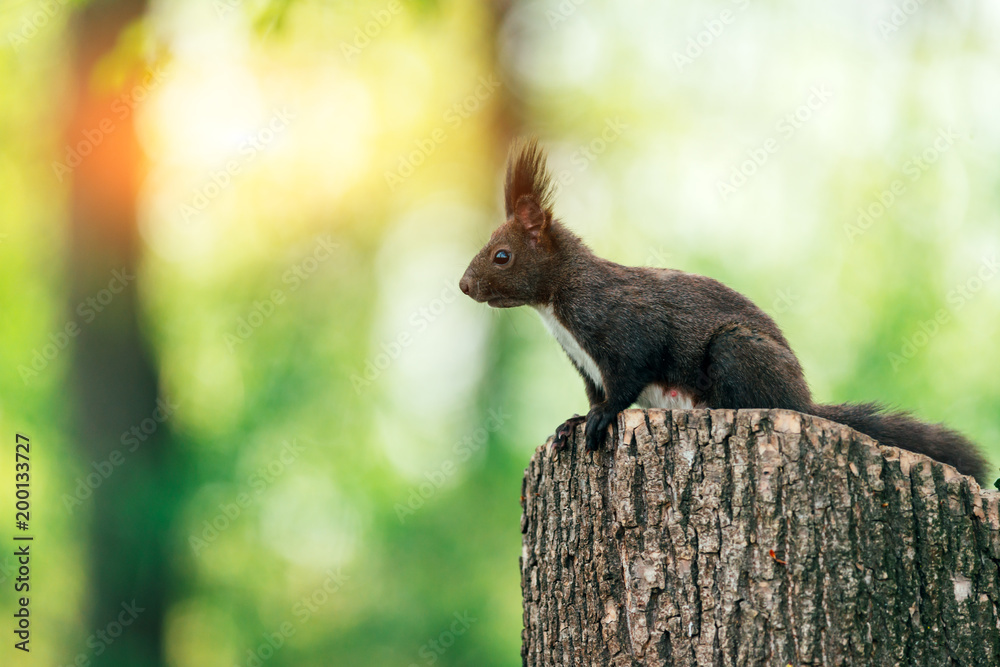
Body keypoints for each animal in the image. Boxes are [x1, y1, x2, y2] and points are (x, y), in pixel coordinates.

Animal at [460, 138, 992, 482]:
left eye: (501, 255)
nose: (464, 286)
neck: (556, 304)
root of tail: (804, 402)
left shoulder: (624, 330)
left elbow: (625, 382)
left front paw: (600, 419)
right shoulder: (584, 363)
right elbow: (595, 392)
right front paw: (573, 422)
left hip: (736, 350)